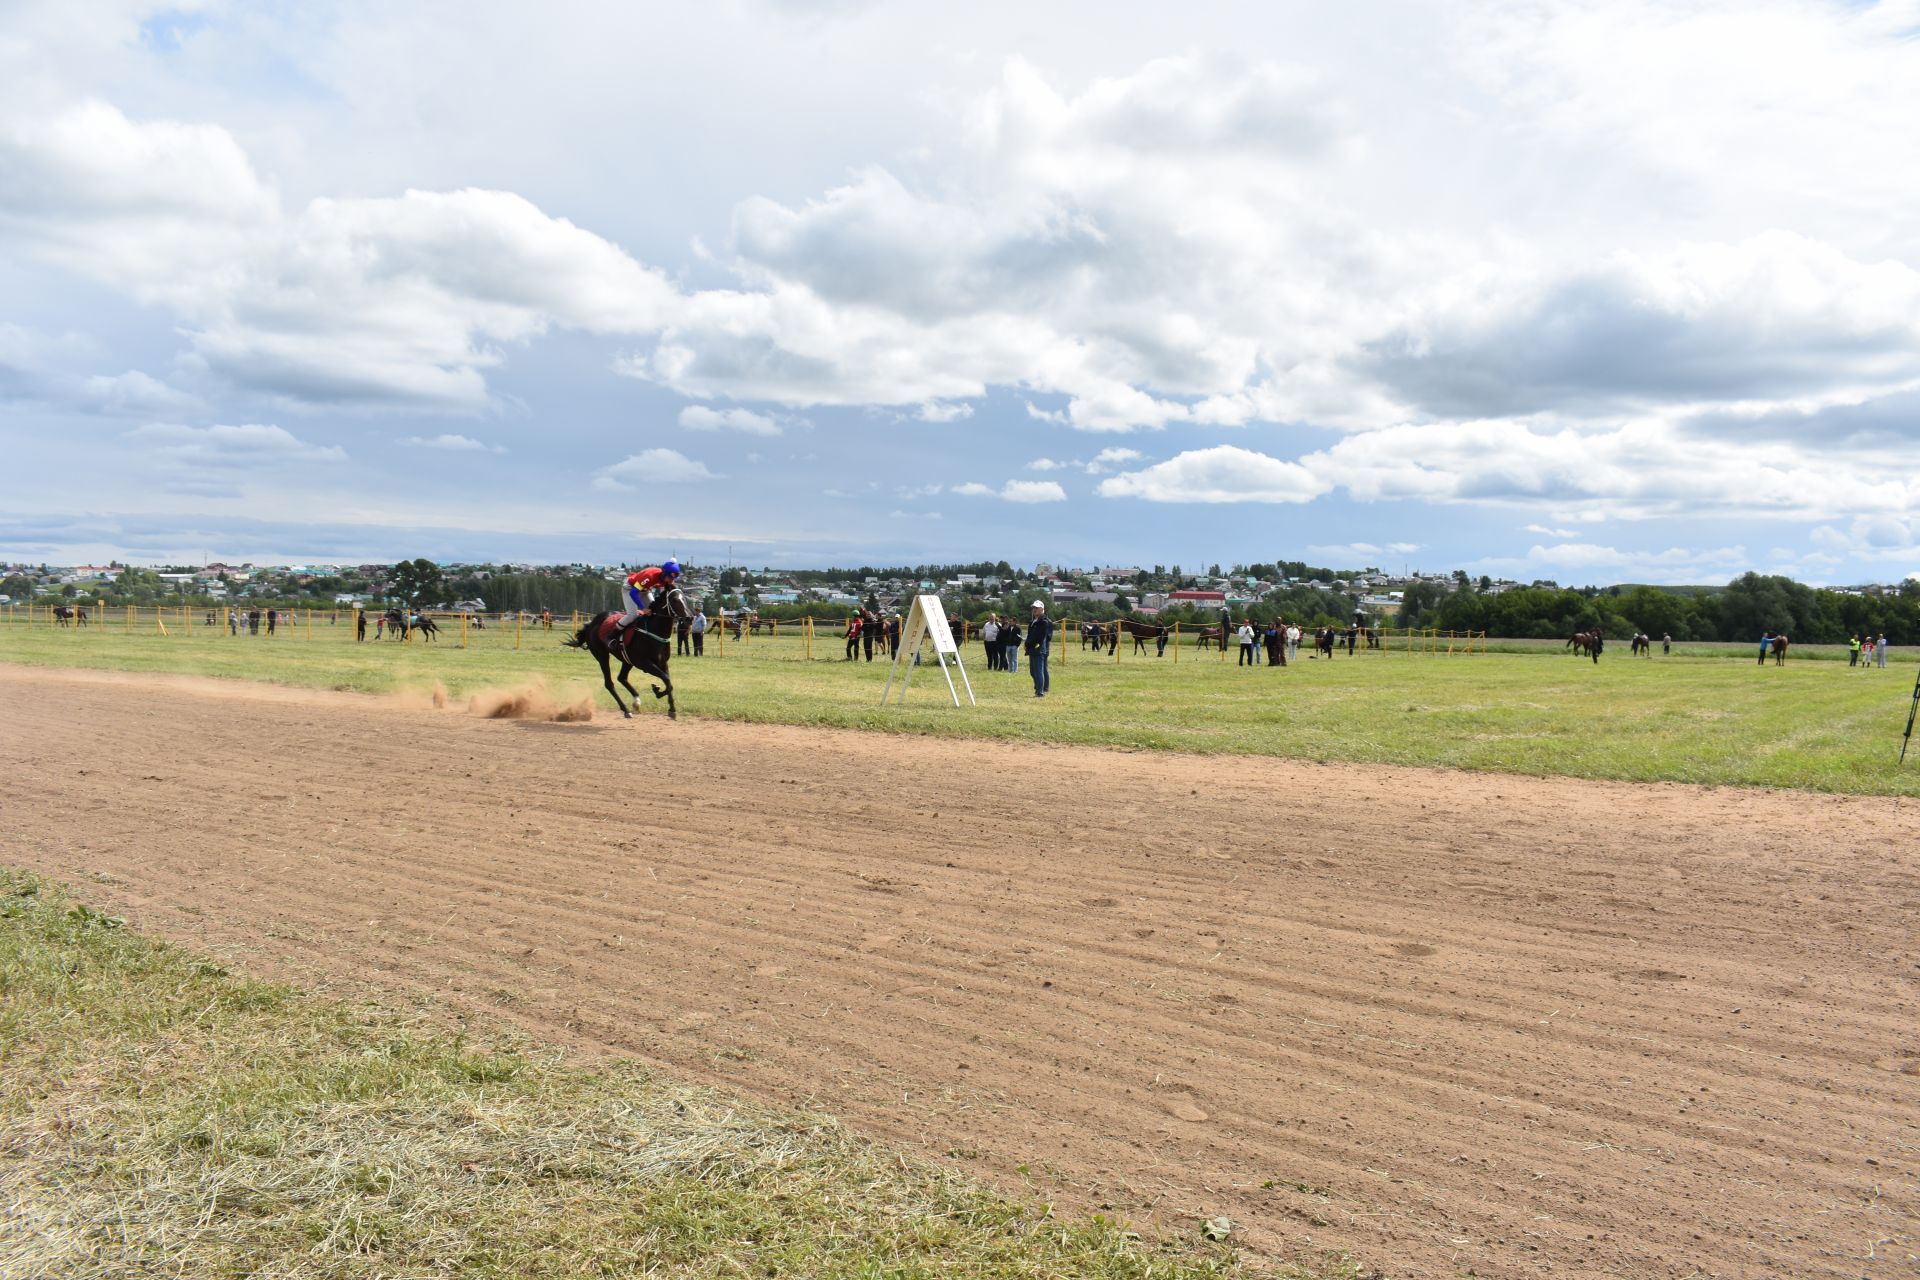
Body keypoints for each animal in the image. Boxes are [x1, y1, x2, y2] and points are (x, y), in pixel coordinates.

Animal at [568, 583, 691, 717]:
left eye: (684, 599)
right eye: (674, 600)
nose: (689, 618)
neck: (654, 631)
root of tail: (591, 624)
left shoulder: (662, 663)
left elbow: (669, 682)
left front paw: (670, 706)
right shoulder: (645, 664)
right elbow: (667, 679)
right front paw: (658, 692)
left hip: (627, 660)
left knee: (621, 678)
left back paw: (636, 701)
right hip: (602, 656)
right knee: (609, 683)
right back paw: (626, 710)